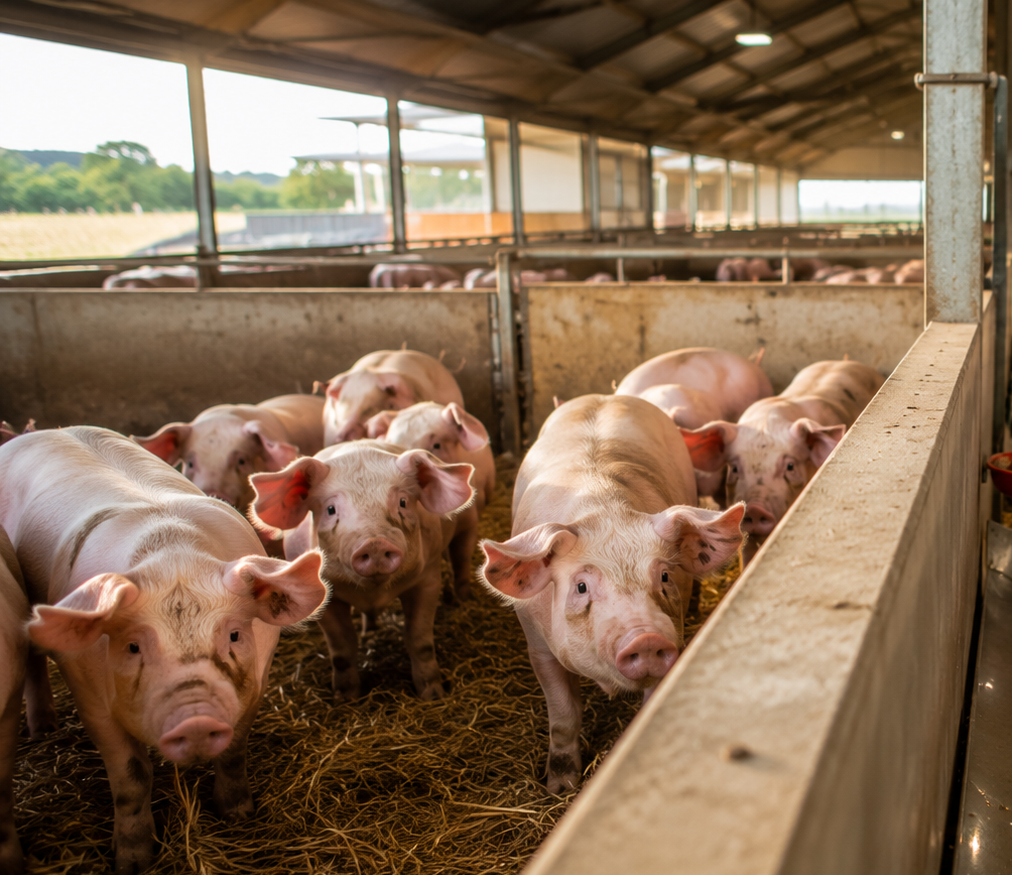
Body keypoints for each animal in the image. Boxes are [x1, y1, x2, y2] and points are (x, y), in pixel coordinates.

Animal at [0, 427, 327, 874]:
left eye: (234, 635)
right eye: (133, 646)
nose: (195, 717)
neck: (173, 555)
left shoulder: (257, 682)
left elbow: (234, 752)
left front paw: (238, 814)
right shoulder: (90, 699)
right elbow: (132, 778)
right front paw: (133, 862)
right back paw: (44, 730)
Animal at [250, 441, 474, 702]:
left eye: (403, 502)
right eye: (330, 509)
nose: (374, 543)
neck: (373, 592)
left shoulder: (428, 576)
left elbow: (419, 640)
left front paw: (433, 695)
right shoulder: (326, 597)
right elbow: (342, 649)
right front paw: (345, 698)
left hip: (467, 525)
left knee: (461, 557)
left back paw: (463, 600)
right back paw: (370, 630)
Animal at [480, 395, 745, 793]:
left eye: (664, 575)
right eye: (581, 586)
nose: (646, 637)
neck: (605, 510)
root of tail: (607, 396)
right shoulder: (538, 646)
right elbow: (563, 715)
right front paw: (560, 788)